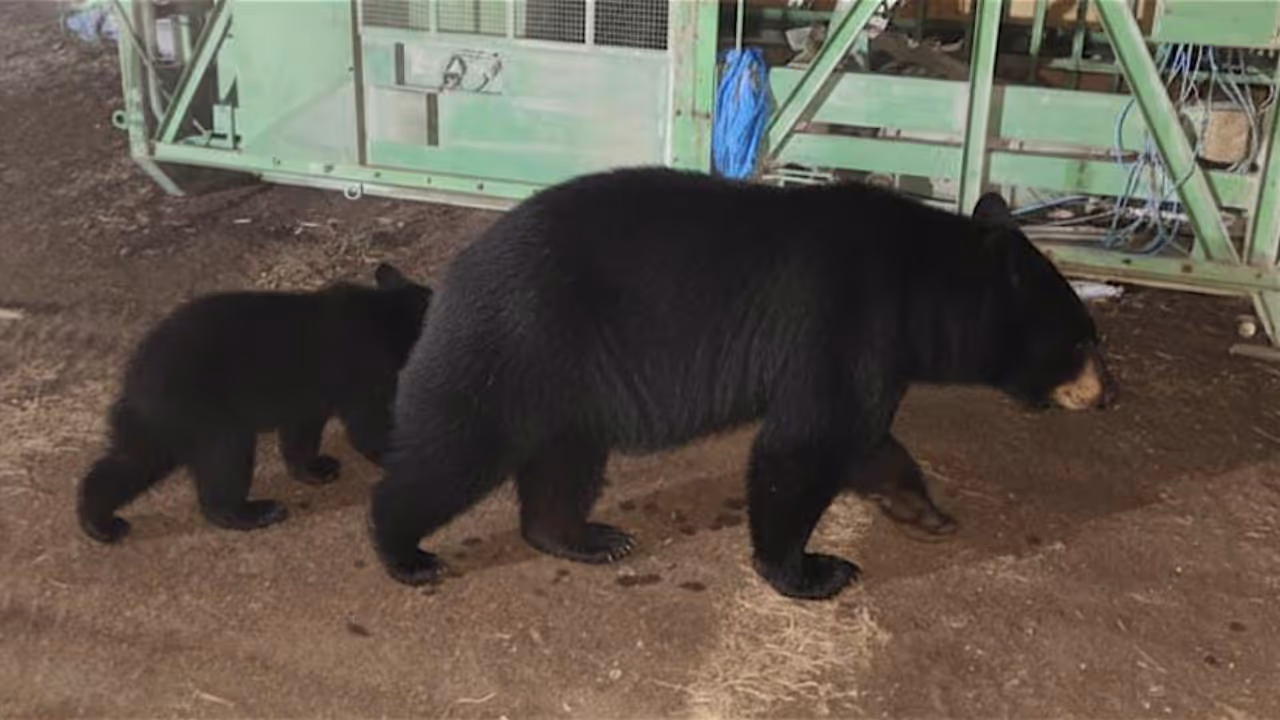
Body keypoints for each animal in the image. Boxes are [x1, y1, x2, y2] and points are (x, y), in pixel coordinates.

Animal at [77, 263, 432, 543]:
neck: (384, 316)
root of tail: (133, 383)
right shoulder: (363, 369)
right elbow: (368, 426)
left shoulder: (306, 396)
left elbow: (301, 433)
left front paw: (314, 469)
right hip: (204, 414)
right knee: (224, 459)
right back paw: (254, 512)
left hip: (159, 425)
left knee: (131, 461)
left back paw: (98, 522)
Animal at [368, 167, 1116, 600]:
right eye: (1084, 340)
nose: (1109, 394)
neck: (916, 284)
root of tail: (452, 276)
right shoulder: (843, 319)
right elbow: (806, 442)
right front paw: (812, 571)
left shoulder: (869, 349)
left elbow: (867, 438)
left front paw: (923, 509)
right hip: (516, 342)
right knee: (452, 453)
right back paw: (404, 551)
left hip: (568, 382)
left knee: (563, 464)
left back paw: (585, 537)